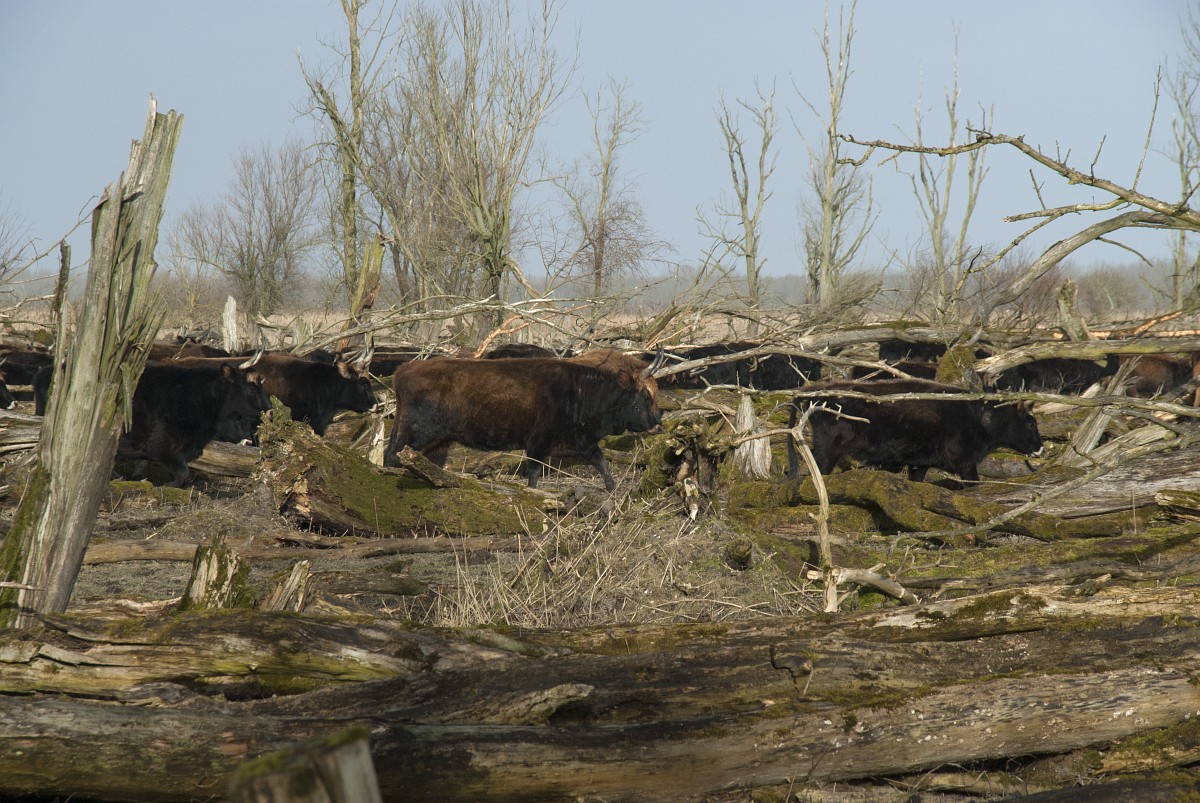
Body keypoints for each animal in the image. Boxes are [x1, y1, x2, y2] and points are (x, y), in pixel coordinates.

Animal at [385, 356, 662, 490]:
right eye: (646, 397)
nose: (658, 425)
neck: (579, 391)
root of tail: (404, 369)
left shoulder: (581, 443)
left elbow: (602, 463)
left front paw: (613, 488)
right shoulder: (537, 442)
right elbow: (533, 475)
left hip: (437, 444)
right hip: (414, 435)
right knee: (391, 457)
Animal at [788, 379, 1043, 483]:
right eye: (1031, 422)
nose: (1041, 448)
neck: (979, 415)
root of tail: (810, 393)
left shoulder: (919, 464)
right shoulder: (965, 463)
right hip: (827, 452)